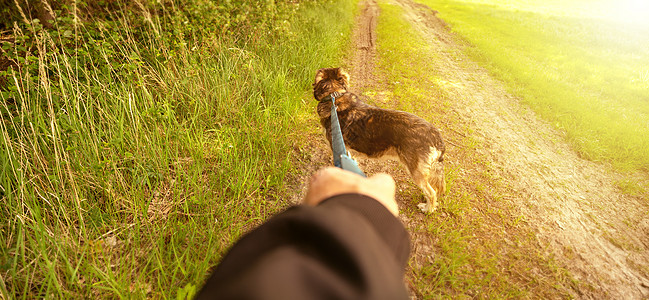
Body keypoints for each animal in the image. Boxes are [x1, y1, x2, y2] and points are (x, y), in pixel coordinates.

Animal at [312, 67, 446, 213]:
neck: (334, 96)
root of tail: (436, 135)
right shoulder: (349, 152)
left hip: (416, 171)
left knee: (431, 192)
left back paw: (428, 209)